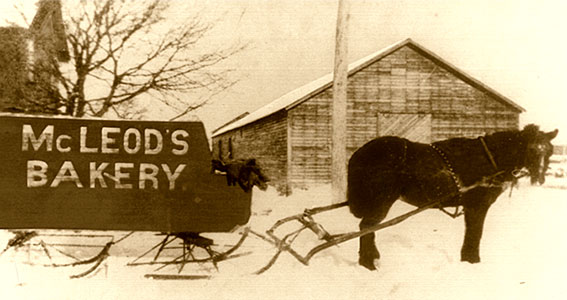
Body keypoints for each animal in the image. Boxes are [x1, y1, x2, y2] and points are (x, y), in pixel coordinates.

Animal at [350, 124, 560, 270]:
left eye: (549, 150)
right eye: (532, 149)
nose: (540, 179)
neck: (488, 160)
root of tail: (360, 153)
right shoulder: (477, 205)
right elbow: (475, 233)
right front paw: (472, 260)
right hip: (382, 200)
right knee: (367, 227)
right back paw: (368, 263)